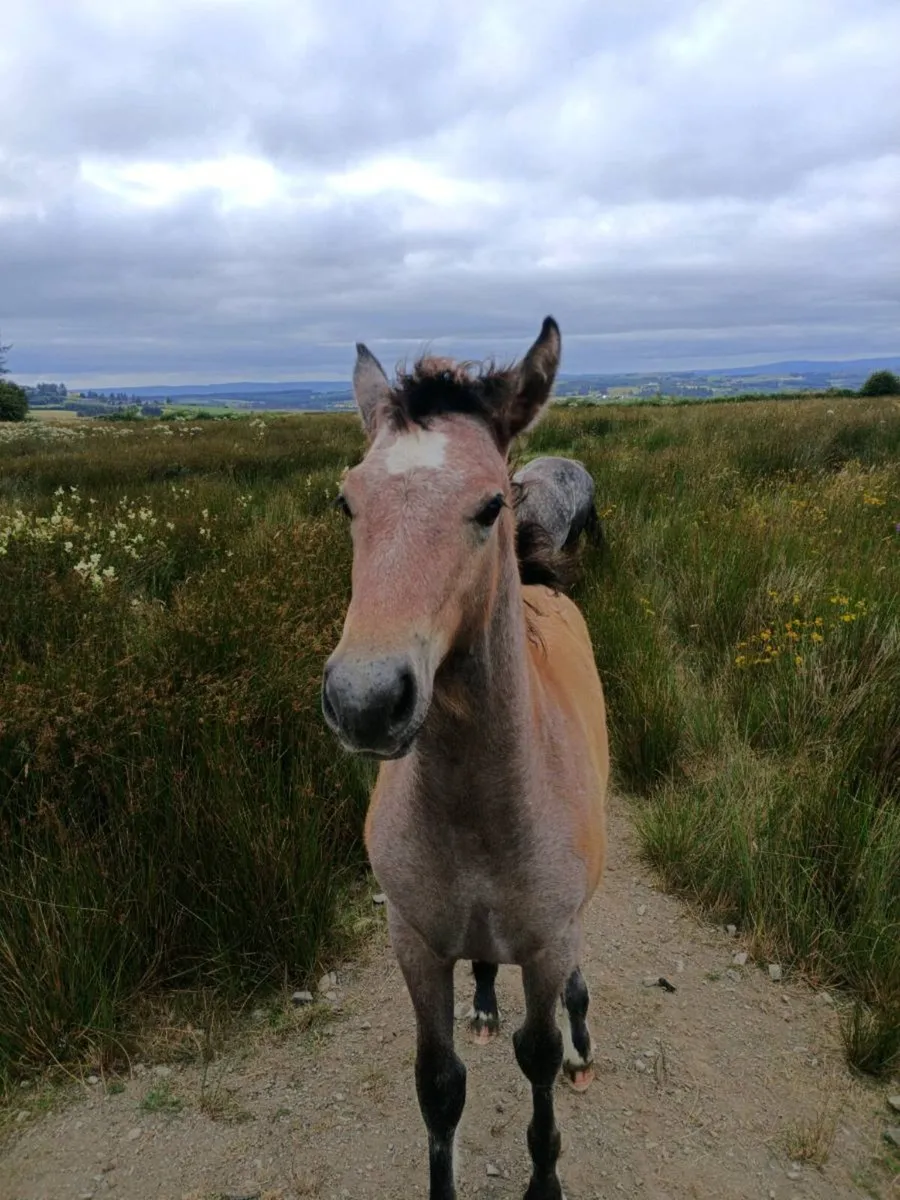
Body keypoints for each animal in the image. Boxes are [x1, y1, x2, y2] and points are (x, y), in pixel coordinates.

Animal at [321, 316, 609, 1200]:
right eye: (347, 500)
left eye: (489, 504)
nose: (366, 700)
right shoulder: (414, 943)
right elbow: (439, 1085)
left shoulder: (546, 946)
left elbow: (538, 1058)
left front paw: (545, 1178)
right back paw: (483, 1001)